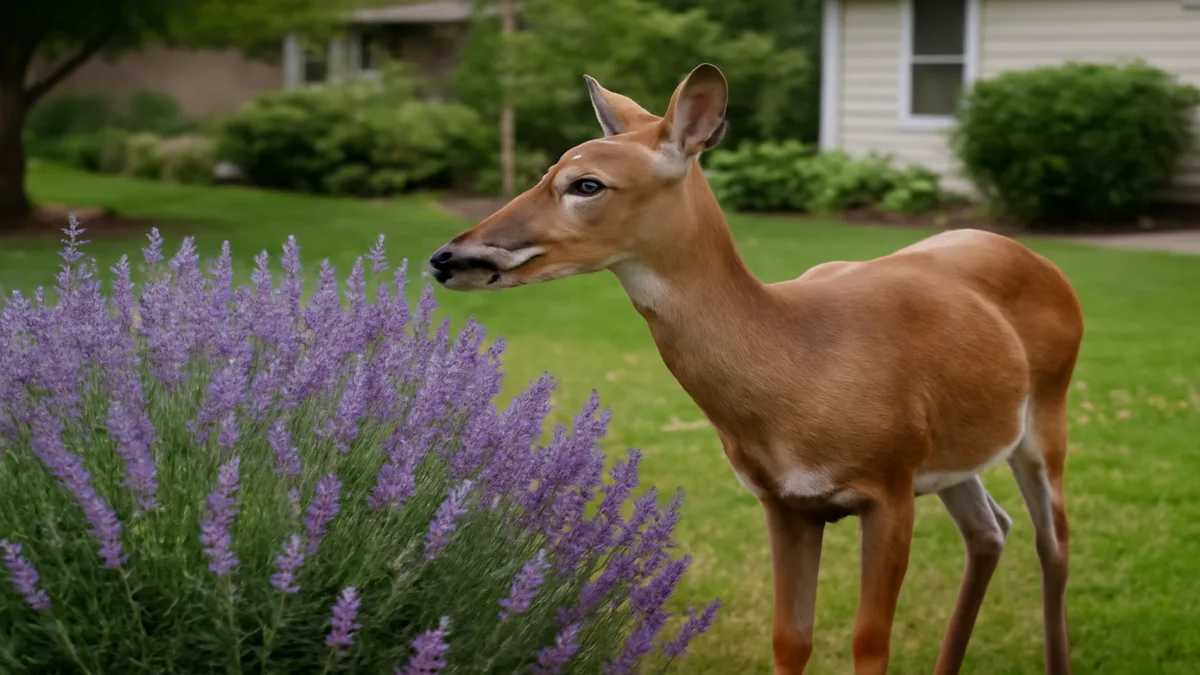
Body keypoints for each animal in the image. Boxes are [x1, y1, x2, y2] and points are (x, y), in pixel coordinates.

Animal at [426, 64, 1084, 675]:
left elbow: (870, 643)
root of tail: (1040, 259)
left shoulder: (890, 484)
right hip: (953, 454)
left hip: (1047, 410)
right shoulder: (784, 501)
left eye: (586, 183)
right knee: (989, 530)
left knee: (1054, 543)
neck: (798, 366)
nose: (446, 256)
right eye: (545, 171)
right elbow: (790, 639)